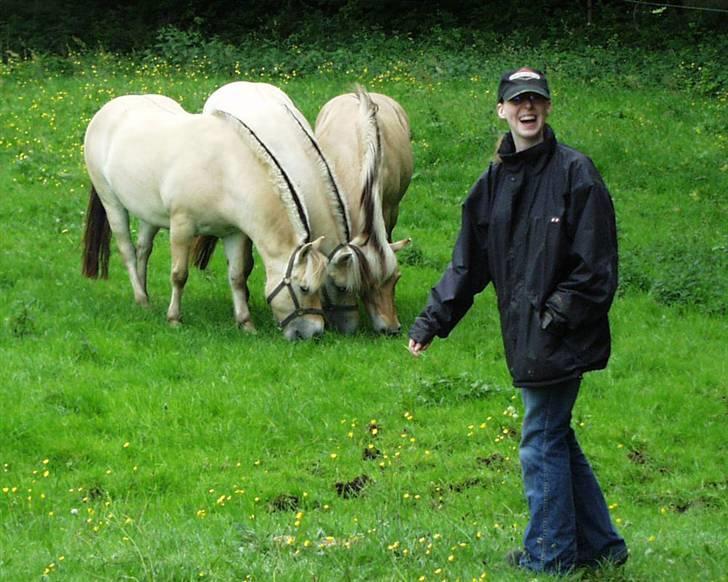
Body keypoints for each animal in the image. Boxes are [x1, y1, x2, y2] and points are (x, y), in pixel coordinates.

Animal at [82, 94, 328, 342]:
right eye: (304, 288)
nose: (316, 332)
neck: (225, 170)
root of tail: (108, 108)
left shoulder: (233, 234)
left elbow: (237, 276)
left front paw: (245, 322)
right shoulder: (182, 227)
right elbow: (179, 275)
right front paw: (174, 319)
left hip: (148, 214)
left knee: (143, 250)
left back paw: (145, 297)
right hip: (111, 203)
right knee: (128, 252)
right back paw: (141, 298)